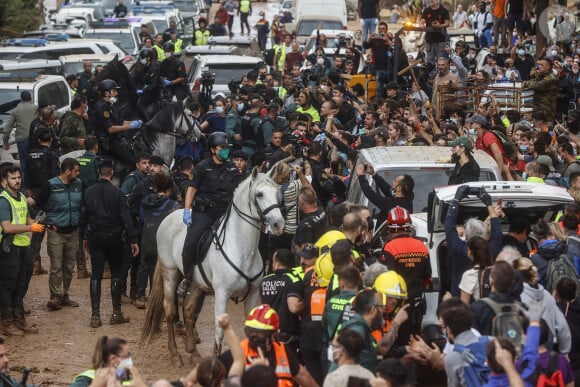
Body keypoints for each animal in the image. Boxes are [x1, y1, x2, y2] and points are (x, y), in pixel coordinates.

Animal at [140, 167, 286, 366]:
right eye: (259, 194)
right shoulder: (222, 294)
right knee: (170, 310)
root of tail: (170, 216)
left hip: (195, 282)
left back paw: (193, 353)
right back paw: (175, 355)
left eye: (277, 194)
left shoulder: (253, 293)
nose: (279, 224)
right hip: (169, 272)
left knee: (188, 309)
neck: (243, 250)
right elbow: (219, 331)